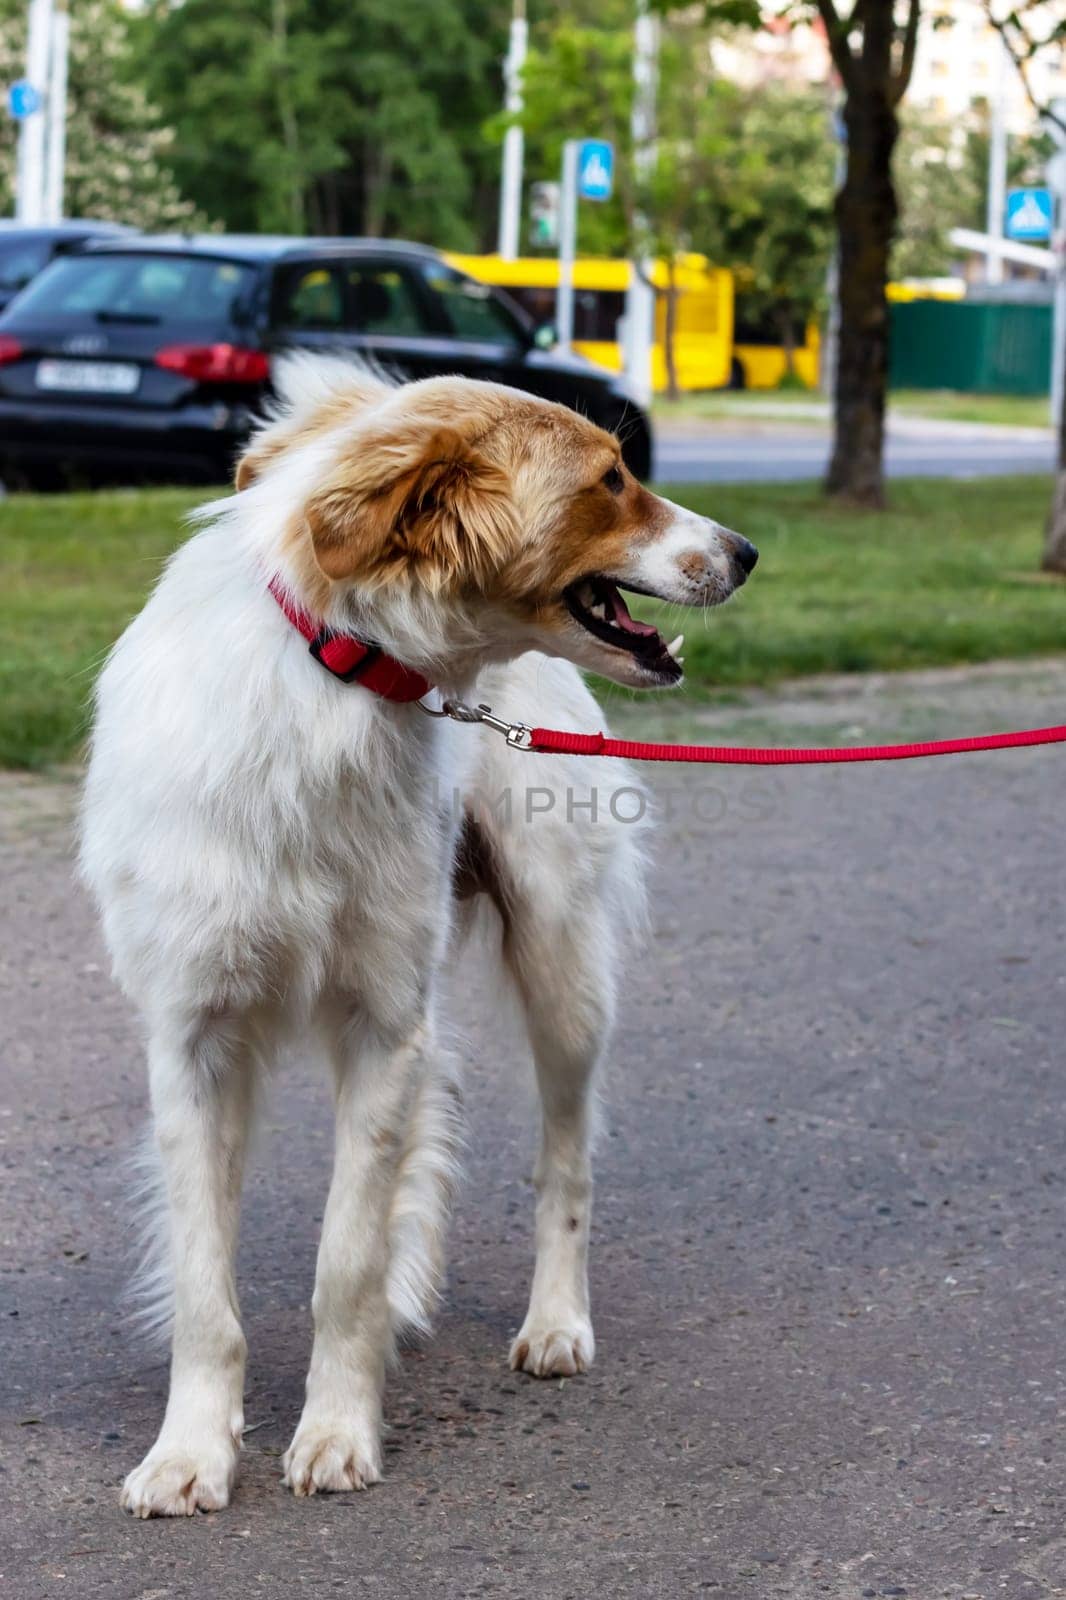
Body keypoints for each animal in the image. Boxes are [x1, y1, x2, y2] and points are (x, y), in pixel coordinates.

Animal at [78, 356, 755, 1516]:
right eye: (611, 481)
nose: (749, 552)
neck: (335, 674)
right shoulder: (193, 1034)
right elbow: (207, 1287)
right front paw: (191, 1453)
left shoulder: (378, 1019)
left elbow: (341, 1263)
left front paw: (337, 1432)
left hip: (564, 975)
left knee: (565, 1164)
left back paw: (554, 1323)